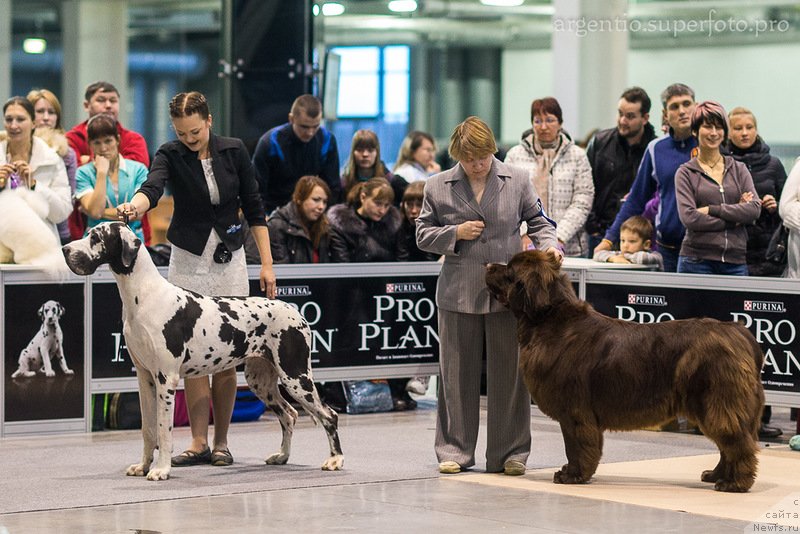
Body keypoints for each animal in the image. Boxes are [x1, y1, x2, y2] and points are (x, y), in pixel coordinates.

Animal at [484, 251, 764, 494]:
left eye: (509, 271)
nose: (487, 265)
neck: (549, 321)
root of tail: (740, 333)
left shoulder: (574, 410)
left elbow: (576, 444)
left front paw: (572, 475)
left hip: (717, 400)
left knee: (736, 442)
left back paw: (734, 483)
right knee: (728, 443)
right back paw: (716, 475)